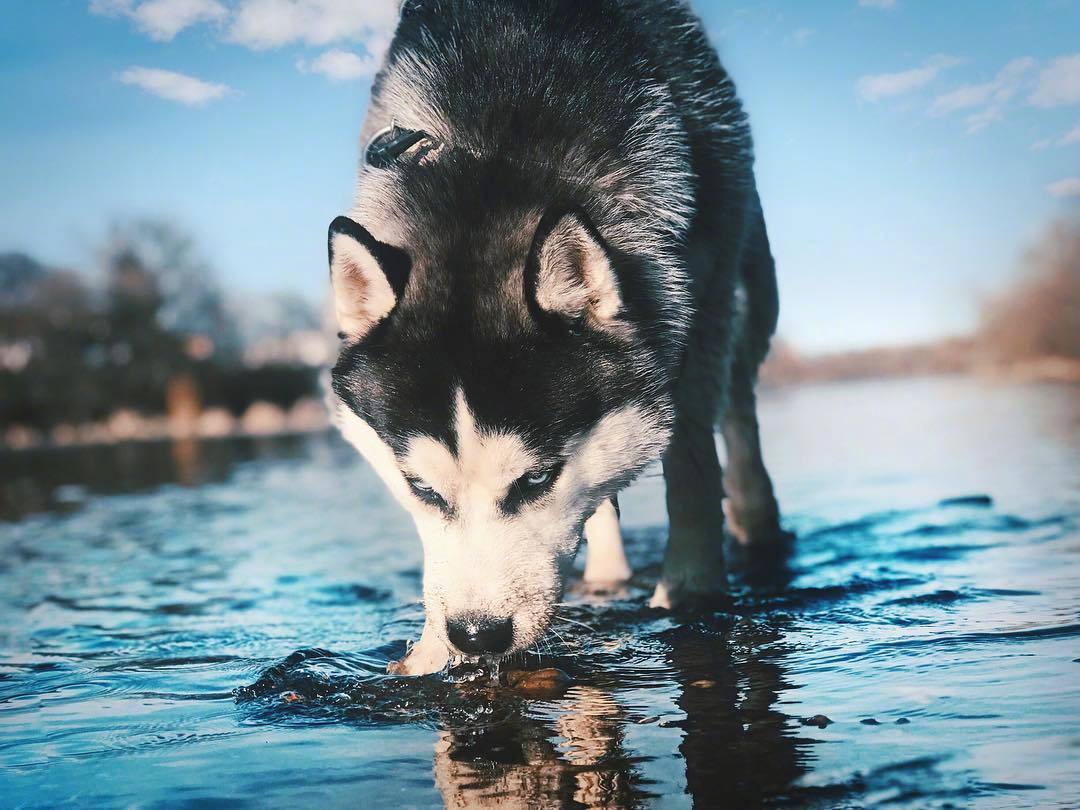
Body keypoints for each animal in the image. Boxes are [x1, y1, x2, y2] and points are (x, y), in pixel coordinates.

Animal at [328, 0, 786, 678]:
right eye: (421, 488)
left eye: (537, 480)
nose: (478, 635)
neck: (496, 155)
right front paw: (430, 649)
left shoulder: (694, 298)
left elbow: (692, 459)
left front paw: (690, 590)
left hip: (749, 287)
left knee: (739, 406)